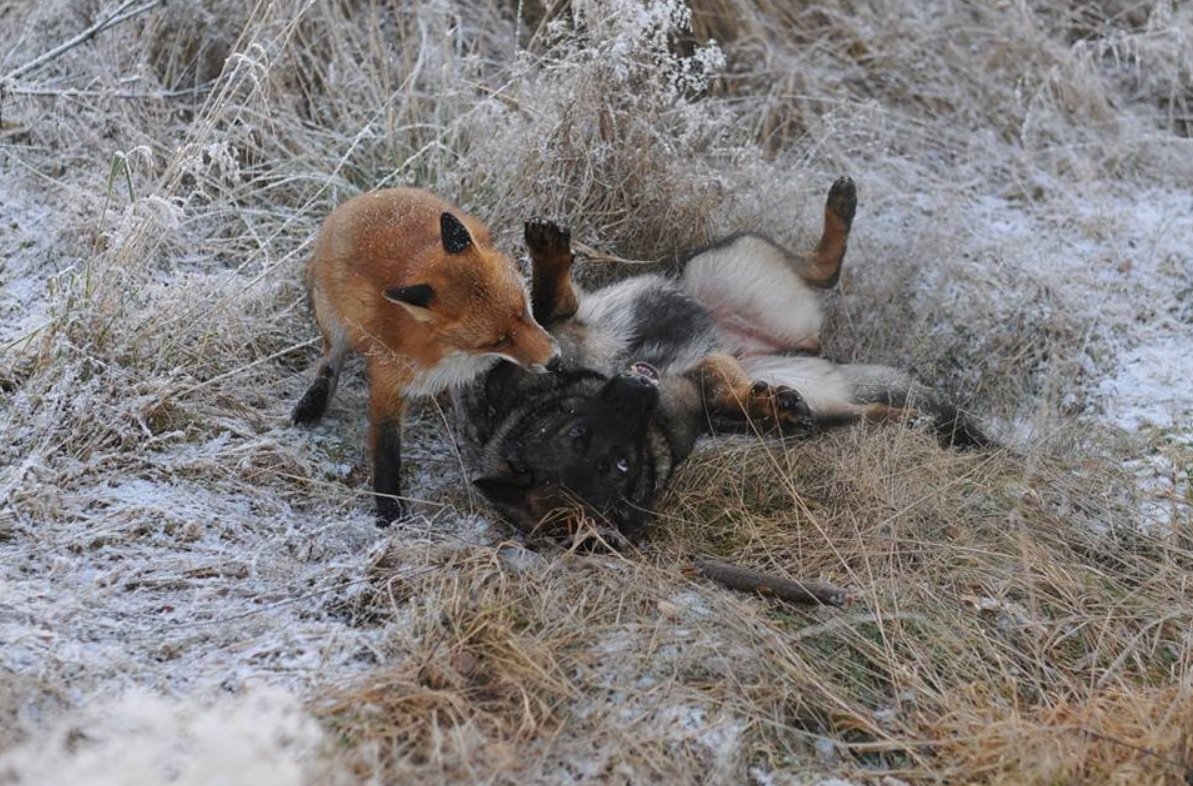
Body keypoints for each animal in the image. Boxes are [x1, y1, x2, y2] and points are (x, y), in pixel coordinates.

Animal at [291, 187, 558, 525]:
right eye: (498, 340)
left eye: (524, 310)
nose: (555, 360)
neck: (448, 353)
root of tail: (368, 197)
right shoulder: (387, 380)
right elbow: (386, 449)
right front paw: (389, 506)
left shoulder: (463, 372)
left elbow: (468, 403)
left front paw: (476, 436)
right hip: (335, 324)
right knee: (329, 362)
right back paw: (313, 401)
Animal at [453, 177, 990, 543]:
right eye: (619, 465)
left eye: (577, 430)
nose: (637, 389)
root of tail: (786, 345)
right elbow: (719, 387)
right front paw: (762, 406)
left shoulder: (560, 332)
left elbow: (548, 299)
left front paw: (547, 253)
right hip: (816, 392)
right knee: (855, 388)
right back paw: (903, 421)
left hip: (719, 264)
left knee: (819, 271)